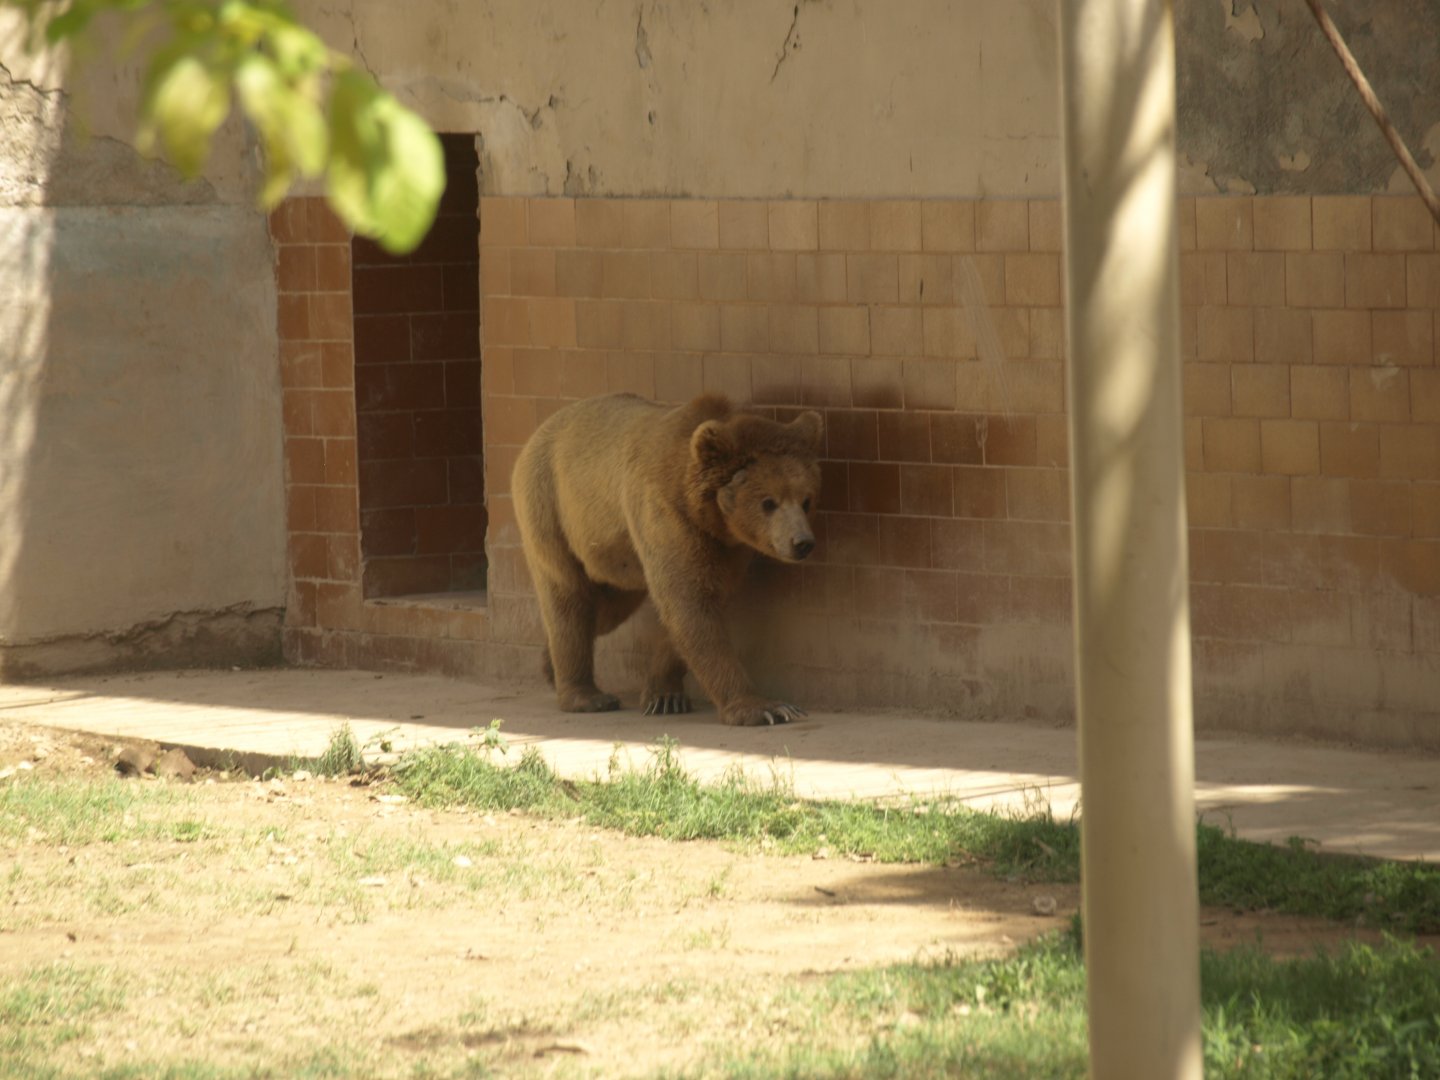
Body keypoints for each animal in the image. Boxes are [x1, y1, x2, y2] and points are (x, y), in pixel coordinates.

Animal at [511, 392, 823, 726]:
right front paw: (767, 708)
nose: (802, 542)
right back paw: (586, 695)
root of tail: (535, 437)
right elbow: (687, 602)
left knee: (606, 610)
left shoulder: (728, 547)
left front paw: (664, 696)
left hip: (615, 557)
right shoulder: (665, 515)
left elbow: (700, 602)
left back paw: (549, 665)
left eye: (806, 499)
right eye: (768, 502)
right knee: (569, 598)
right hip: (551, 509)